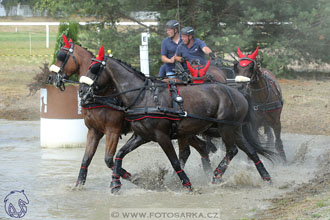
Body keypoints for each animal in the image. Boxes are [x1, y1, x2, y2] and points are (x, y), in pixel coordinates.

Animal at [80, 46, 276, 192]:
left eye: (94, 68)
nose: (82, 91)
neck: (143, 96)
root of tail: (238, 93)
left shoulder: (160, 136)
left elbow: (174, 161)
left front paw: (187, 184)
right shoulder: (141, 136)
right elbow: (119, 155)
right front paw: (116, 183)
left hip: (225, 128)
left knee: (232, 150)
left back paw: (216, 175)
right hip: (232, 128)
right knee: (250, 150)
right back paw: (266, 177)